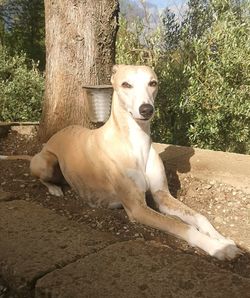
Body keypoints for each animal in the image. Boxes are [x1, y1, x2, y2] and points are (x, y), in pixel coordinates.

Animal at [1, 64, 240, 258]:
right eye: (126, 84)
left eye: (153, 83)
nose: (146, 109)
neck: (135, 143)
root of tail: (50, 141)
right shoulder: (136, 208)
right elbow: (182, 227)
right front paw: (217, 248)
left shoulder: (162, 196)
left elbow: (199, 217)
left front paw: (223, 240)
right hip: (47, 162)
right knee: (43, 177)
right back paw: (55, 189)